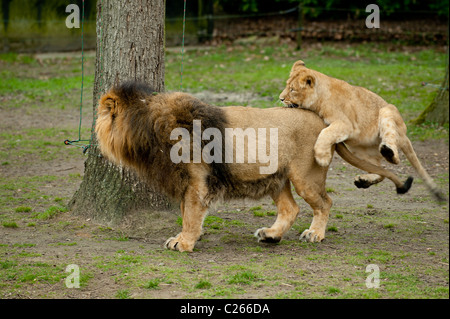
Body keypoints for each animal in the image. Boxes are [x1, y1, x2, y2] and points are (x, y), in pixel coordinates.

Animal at [96, 81, 414, 251]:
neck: (149, 129)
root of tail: (322, 120)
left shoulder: (198, 180)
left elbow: (191, 214)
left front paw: (183, 242)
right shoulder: (186, 182)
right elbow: (187, 212)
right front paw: (190, 236)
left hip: (305, 176)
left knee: (325, 202)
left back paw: (314, 234)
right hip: (276, 178)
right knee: (290, 208)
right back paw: (271, 236)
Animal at [280, 60, 444, 202]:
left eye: (292, 90)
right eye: (287, 86)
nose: (281, 98)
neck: (319, 98)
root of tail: (404, 134)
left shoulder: (345, 124)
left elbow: (325, 133)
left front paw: (322, 157)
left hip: (386, 112)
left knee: (394, 153)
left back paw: (388, 153)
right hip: (360, 150)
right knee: (380, 170)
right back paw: (363, 181)